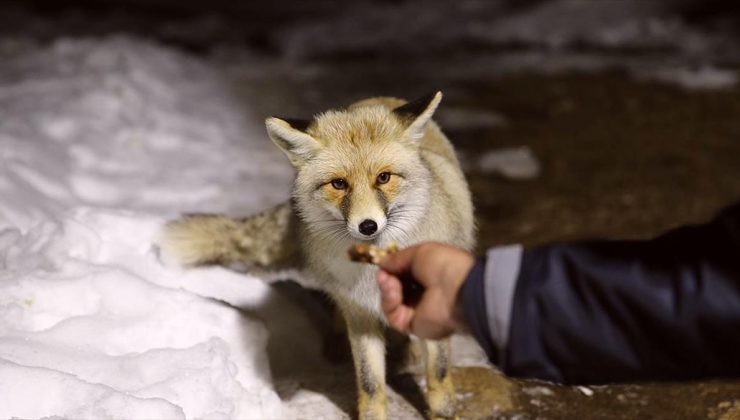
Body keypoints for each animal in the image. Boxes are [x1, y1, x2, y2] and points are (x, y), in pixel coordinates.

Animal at [159, 92, 476, 420]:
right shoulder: (359, 312)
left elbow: (438, 375)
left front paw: (443, 413)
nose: (367, 226)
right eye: (339, 184)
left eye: (384, 178)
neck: (373, 267)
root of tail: (375, 98)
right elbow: (370, 384)